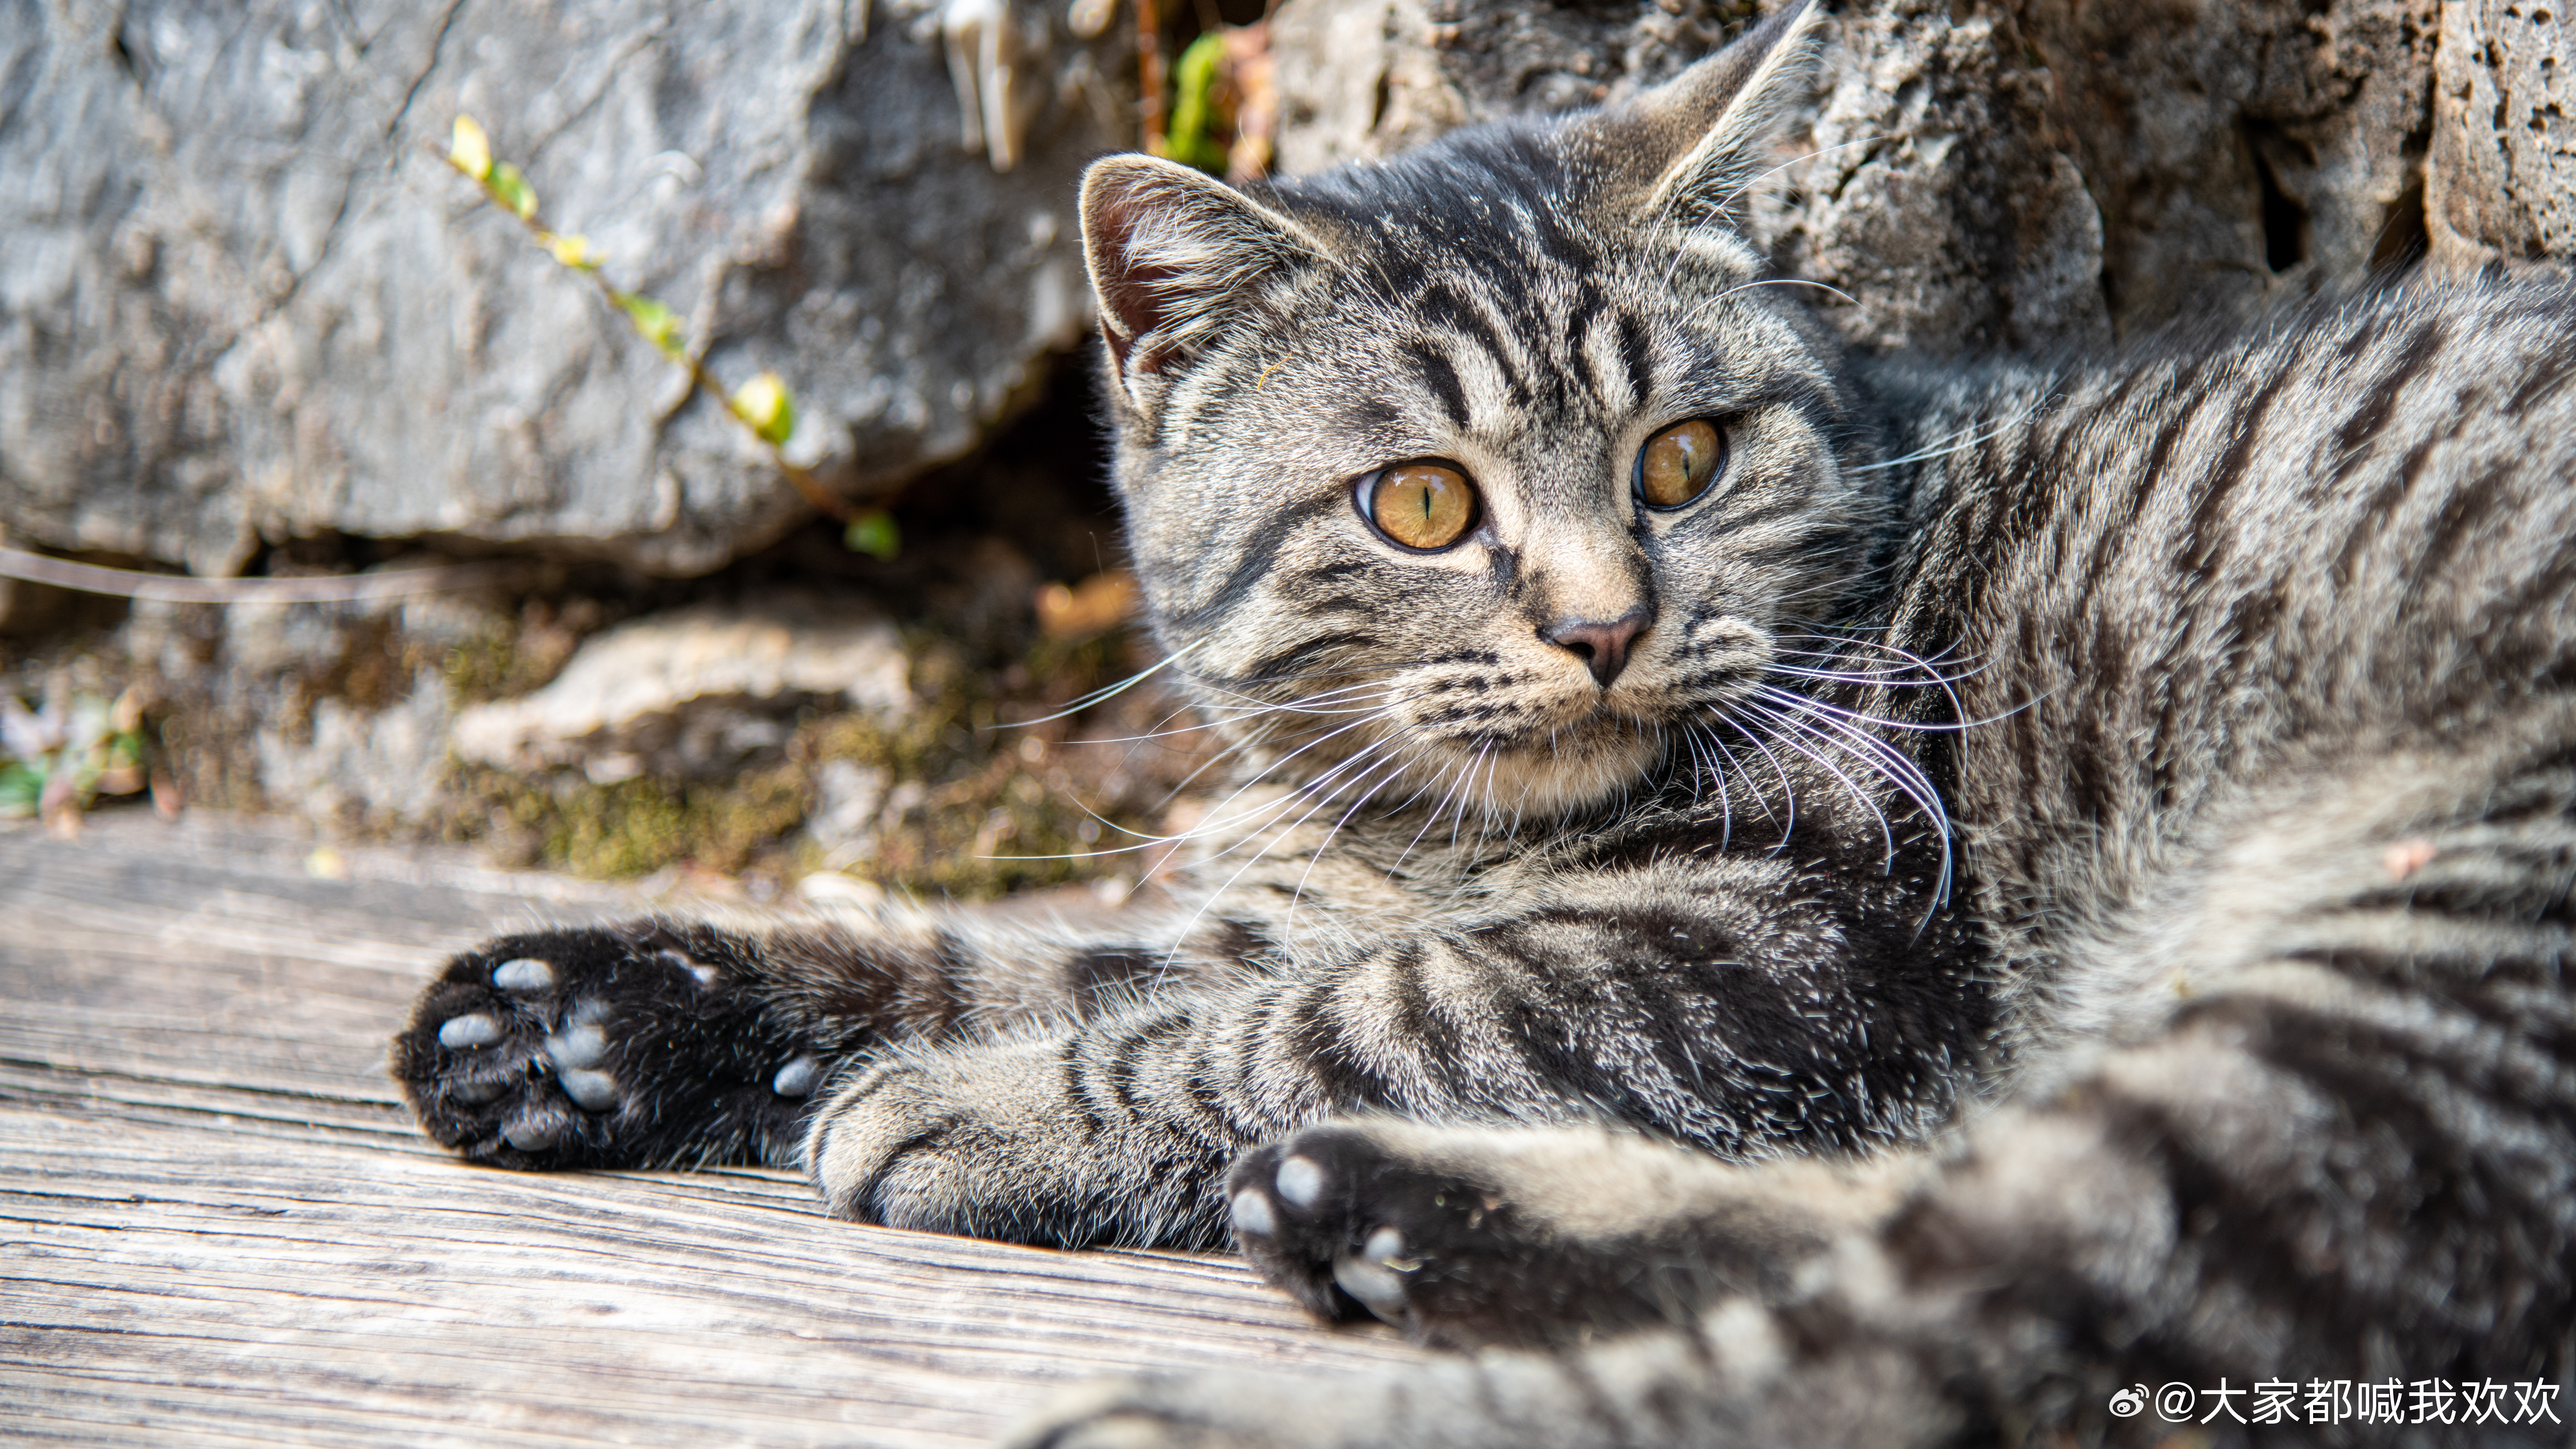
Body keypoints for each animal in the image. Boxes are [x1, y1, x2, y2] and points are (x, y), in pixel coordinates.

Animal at [386, 5, 2576, 1441]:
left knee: (1958, 1331)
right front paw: (590, 1014)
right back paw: (1377, 1210)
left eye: (1684, 457)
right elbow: (1008, 960)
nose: (1605, 623)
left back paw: (1241, 1366)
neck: (1429, 830)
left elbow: (1324, 1012)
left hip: (2405, 948)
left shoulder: (1790, 928)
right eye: (1424, 504)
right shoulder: (1296, 899)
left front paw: (989, 1104)